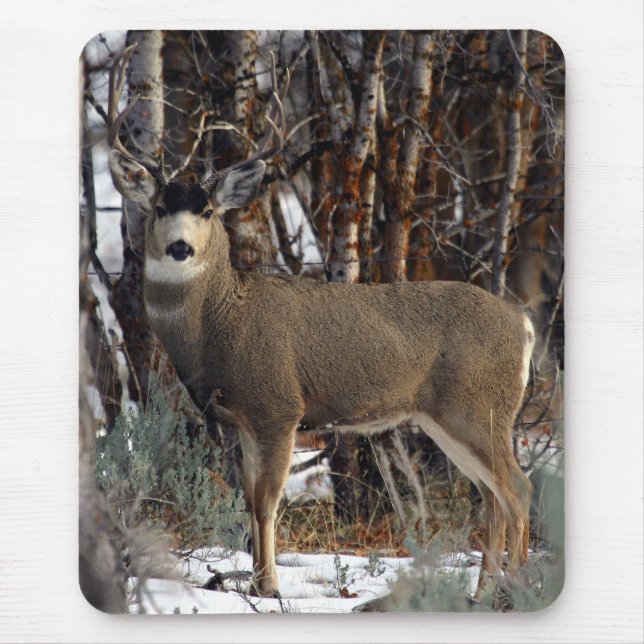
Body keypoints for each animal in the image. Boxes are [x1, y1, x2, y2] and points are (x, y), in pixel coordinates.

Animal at [106, 44, 535, 597]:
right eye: (160, 206)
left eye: (207, 210)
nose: (180, 247)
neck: (218, 326)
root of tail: (524, 326)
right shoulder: (242, 418)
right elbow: (249, 498)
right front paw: (258, 582)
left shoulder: (279, 405)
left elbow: (268, 500)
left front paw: (269, 587)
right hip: (446, 415)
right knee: (491, 494)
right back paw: (482, 593)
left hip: (479, 406)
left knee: (518, 489)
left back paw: (515, 590)